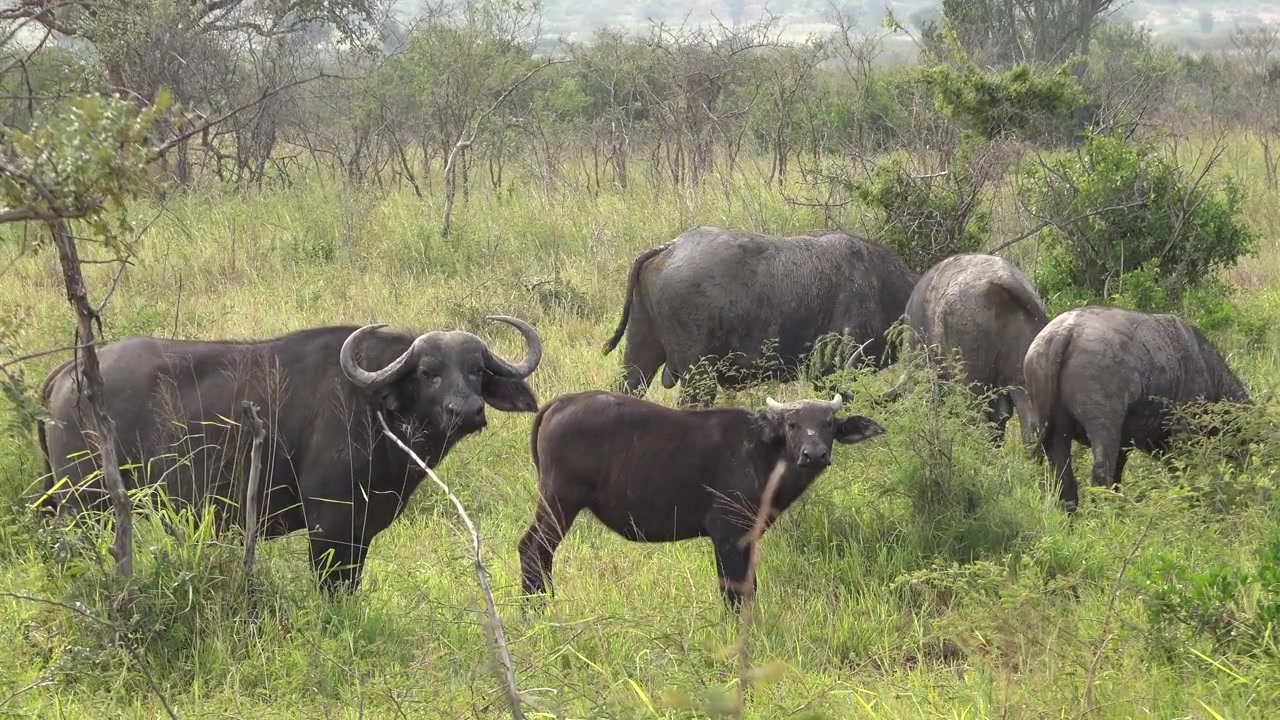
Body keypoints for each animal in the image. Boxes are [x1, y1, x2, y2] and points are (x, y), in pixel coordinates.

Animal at [37, 316, 543, 592]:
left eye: (476, 370)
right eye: (428, 372)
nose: (469, 410)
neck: (373, 407)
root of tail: (71, 373)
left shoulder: (361, 531)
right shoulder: (329, 527)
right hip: (86, 506)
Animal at [517, 391, 885, 608]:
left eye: (828, 424)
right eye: (792, 423)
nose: (814, 454)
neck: (761, 452)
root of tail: (560, 403)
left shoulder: (747, 536)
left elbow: (749, 587)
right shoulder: (727, 534)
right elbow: (734, 590)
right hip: (560, 501)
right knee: (534, 549)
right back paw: (536, 608)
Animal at [1023, 305, 1250, 509]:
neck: (1210, 374)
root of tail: (1066, 331)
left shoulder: (1126, 445)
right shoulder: (1183, 436)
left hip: (1056, 432)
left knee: (1065, 479)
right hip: (1104, 426)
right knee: (1100, 474)